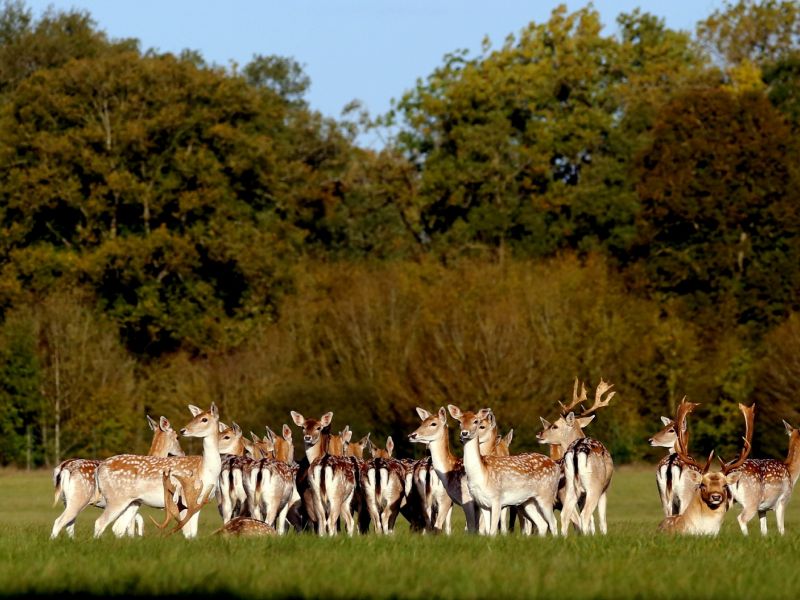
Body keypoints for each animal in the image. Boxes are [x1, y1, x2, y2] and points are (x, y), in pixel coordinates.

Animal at [50, 418, 185, 540]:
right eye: (177, 437)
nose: (182, 453)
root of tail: (63, 468)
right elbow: (131, 525)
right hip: (80, 497)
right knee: (61, 521)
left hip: (66, 499)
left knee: (69, 524)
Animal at [95, 404, 223, 540]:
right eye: (195, 417)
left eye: (204, 419)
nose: (183, 430)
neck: (206, 470)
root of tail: (100, 468)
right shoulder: (185, 499)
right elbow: (188, 533)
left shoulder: (199, 503)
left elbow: (193, 533)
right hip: (115, 497)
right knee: (100, 523)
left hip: (132, 501)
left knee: (118, 527)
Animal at [536, 378, 620, 536]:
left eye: (554, 426)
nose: (539, 434)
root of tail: (576, 450)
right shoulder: (604, 489)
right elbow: (602, 521)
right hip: (593, 487)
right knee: (584, 515)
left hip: (571, 488)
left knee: (566, 516)